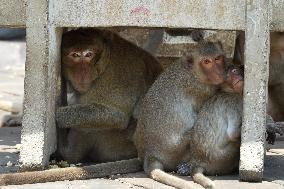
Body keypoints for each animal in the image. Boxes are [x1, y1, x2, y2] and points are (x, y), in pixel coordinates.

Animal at [133, 41, 229, 189]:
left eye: (217, 58)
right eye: (206, 61)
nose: (219, 73)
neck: (192, 72)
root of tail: (149, 153)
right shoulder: (201, 89)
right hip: (175, 151)